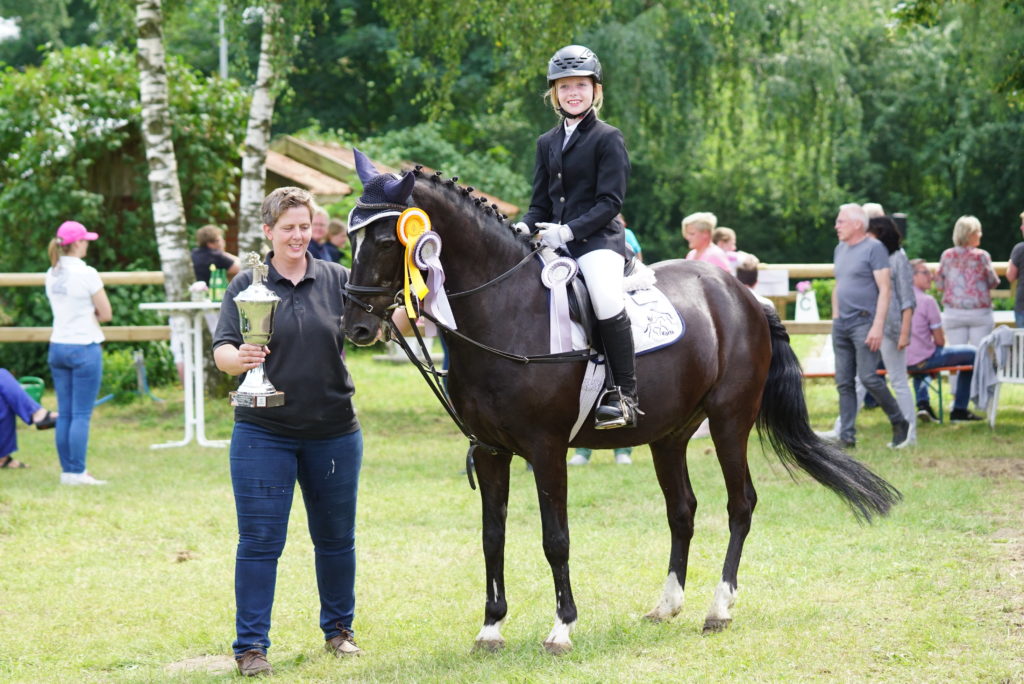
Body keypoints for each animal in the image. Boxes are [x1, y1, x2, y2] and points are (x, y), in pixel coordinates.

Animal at [339, 158, 901, 651]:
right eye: (350, 238)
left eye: (388, 240)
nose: (357, 327)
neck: (504, 310)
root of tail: (744, 297)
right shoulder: (490, 450)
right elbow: (491, 538)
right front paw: (491, 629)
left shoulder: (546, 449)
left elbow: (555, 538)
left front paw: (561, 628)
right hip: (670, 435)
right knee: (682, 510)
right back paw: (666, 605)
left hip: (729, 422)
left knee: (740, 504)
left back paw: (718, 609)